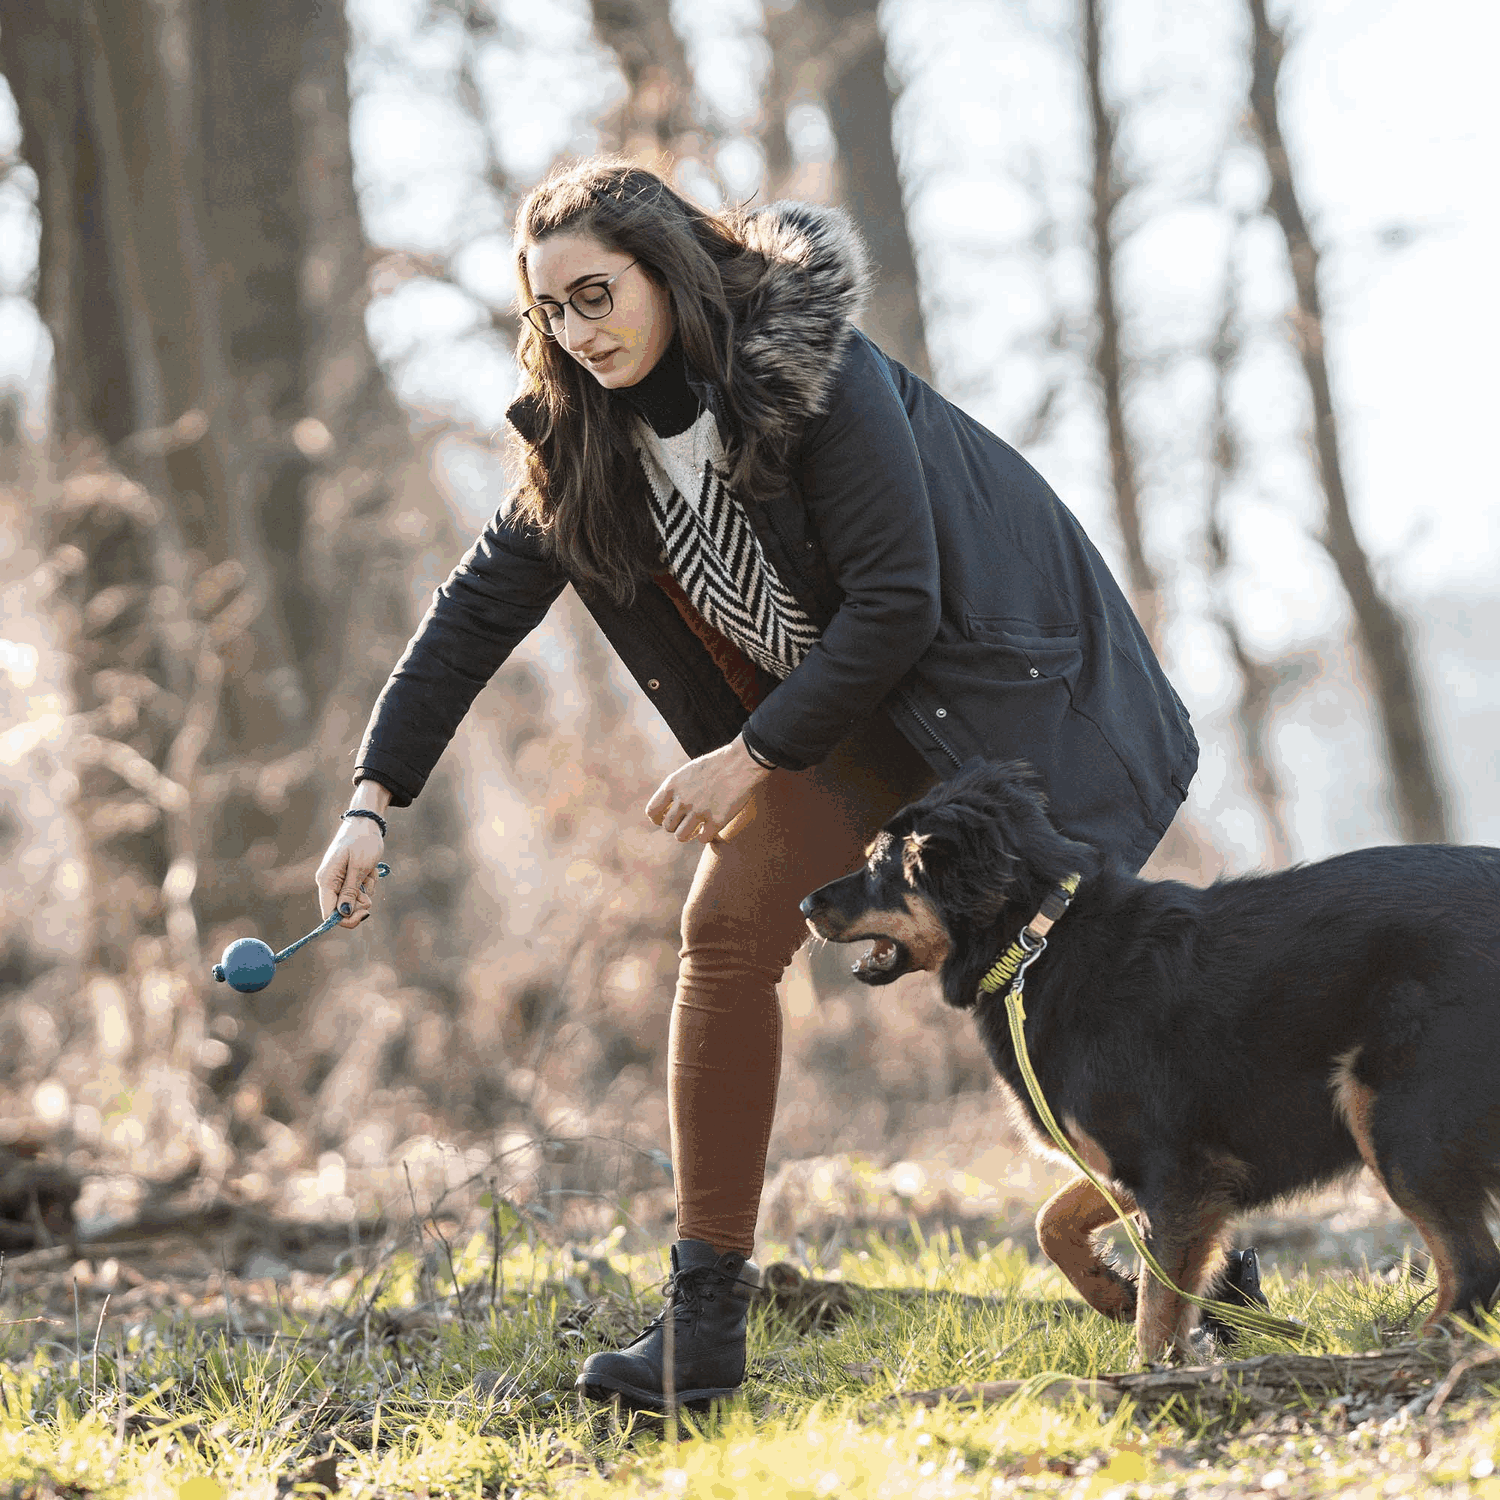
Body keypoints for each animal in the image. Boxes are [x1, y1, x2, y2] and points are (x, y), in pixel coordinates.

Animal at [804, 762, 1500, 1362]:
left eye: (877, 866)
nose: (807, 905)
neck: (1039, 943)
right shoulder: (1139, 1164)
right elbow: (1052, 1222)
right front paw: (1109, 1290)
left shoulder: (1177, 1173)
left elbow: (1158, 1310)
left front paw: (1152, 1381)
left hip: (1391, 1116)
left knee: (1473, 1269)